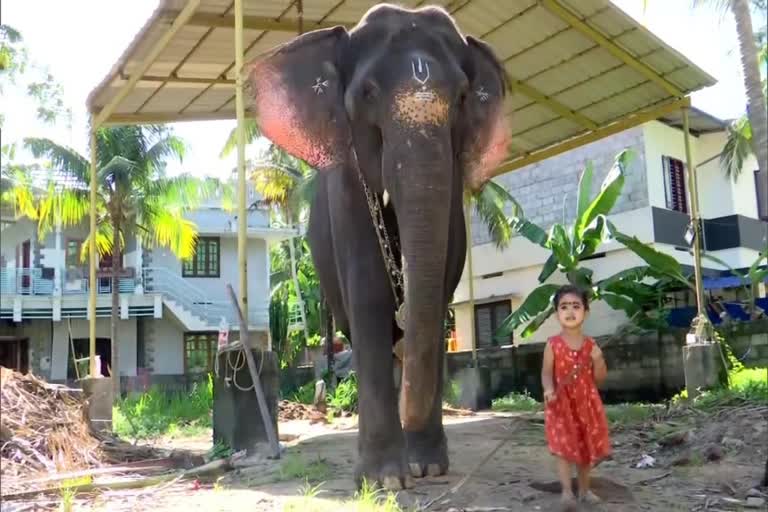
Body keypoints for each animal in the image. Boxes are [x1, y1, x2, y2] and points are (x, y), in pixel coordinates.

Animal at [246, 3, 510, 488]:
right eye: (367, 93)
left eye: (463, 97)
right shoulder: (347, 192)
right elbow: (367, 292)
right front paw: (384, 480)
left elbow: (437, 293)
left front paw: (428, 468)